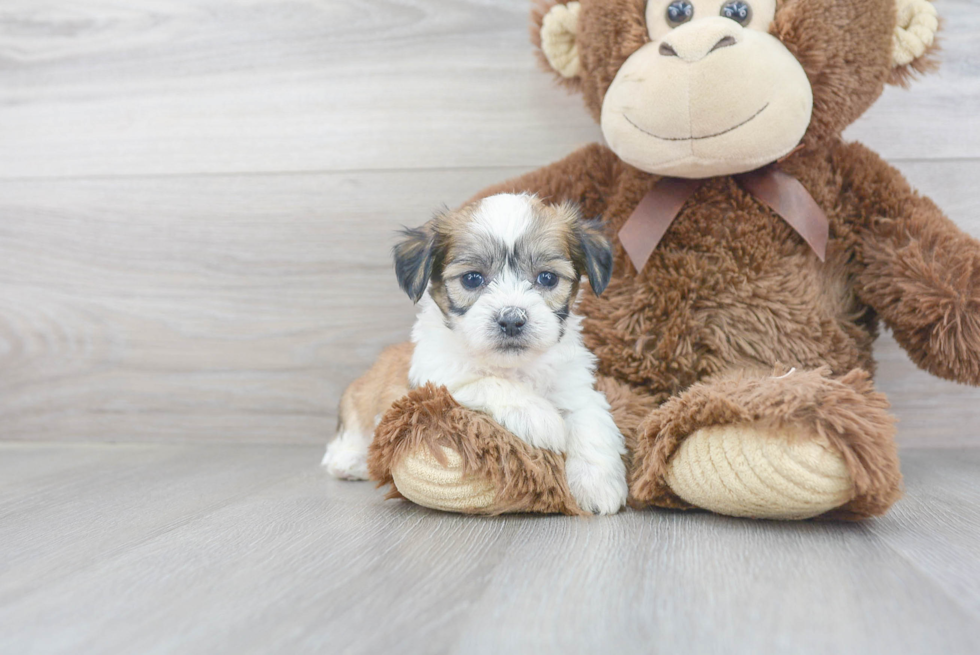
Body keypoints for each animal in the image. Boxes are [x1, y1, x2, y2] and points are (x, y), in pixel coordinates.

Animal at [322, 193, 628, 516]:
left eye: (547, 278)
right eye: (472, 279)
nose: (512, 319)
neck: (511, 366)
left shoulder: (575, 386)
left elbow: (590, 418)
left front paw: (597, 483)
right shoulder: (433, 380)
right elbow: (486, 382)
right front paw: (540, 417)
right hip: (359, 402)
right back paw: (349, 461)